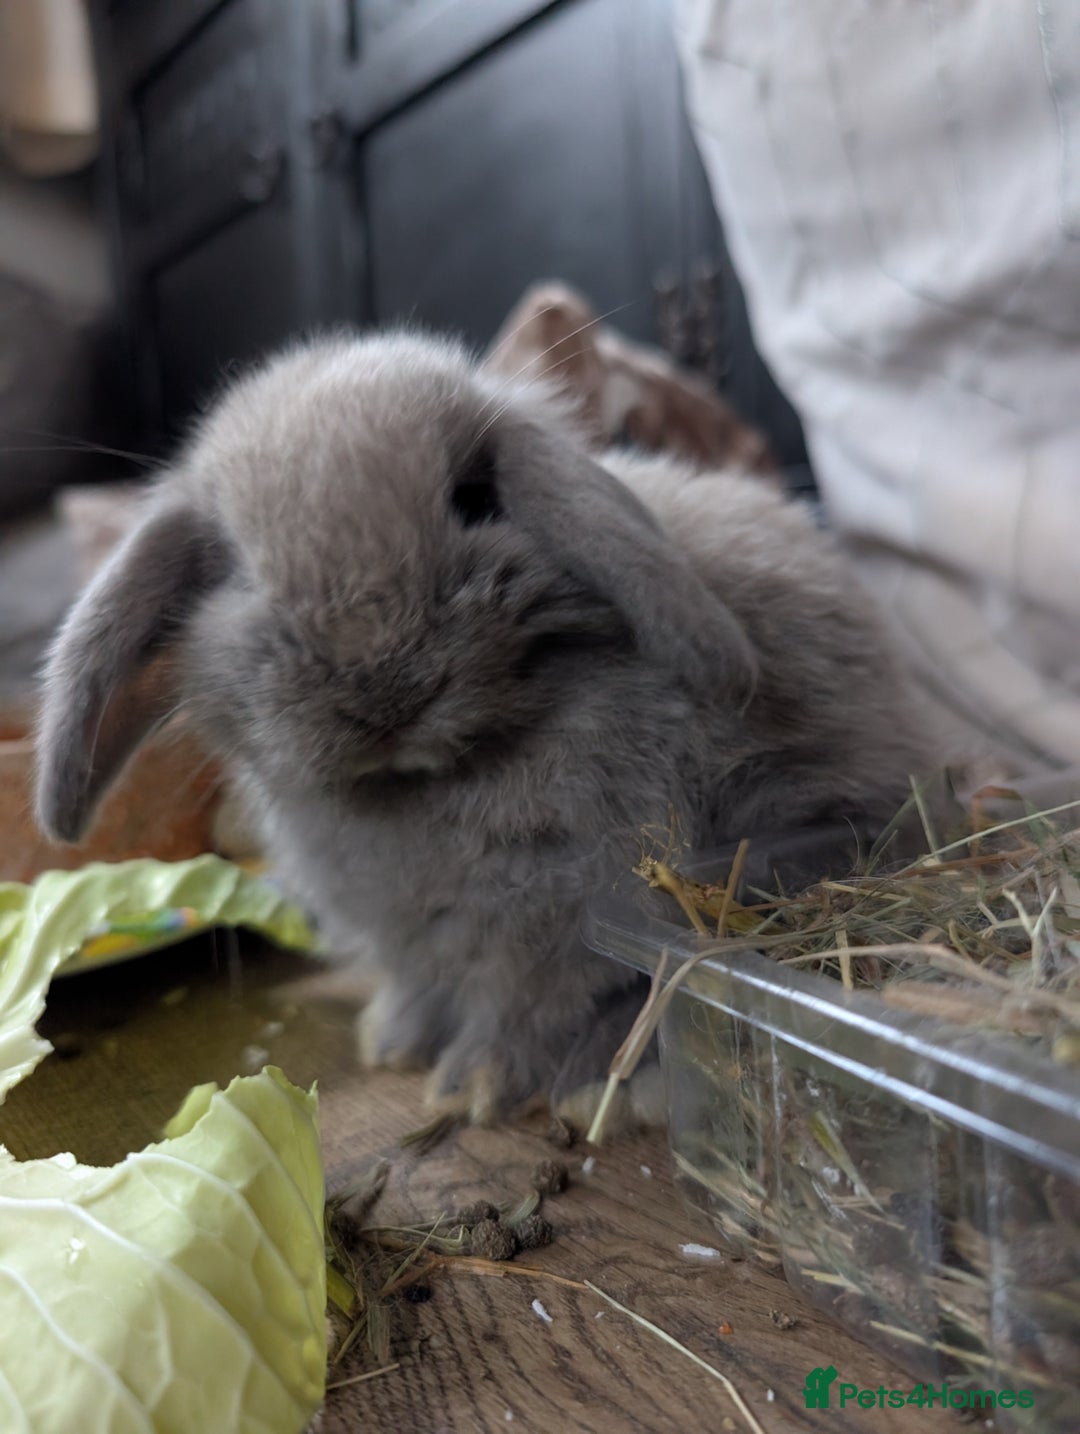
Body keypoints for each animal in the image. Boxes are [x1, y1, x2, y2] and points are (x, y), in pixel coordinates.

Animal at [34, 329, 935, 1128]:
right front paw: (394, 1042)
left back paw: (603, 1083)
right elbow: (423, 983)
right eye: (235, 568)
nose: (383, 688)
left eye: (475, 500)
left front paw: (474, 1085)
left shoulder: (555, 920)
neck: (426, 780)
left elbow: (523, 1006)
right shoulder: (410, 933)